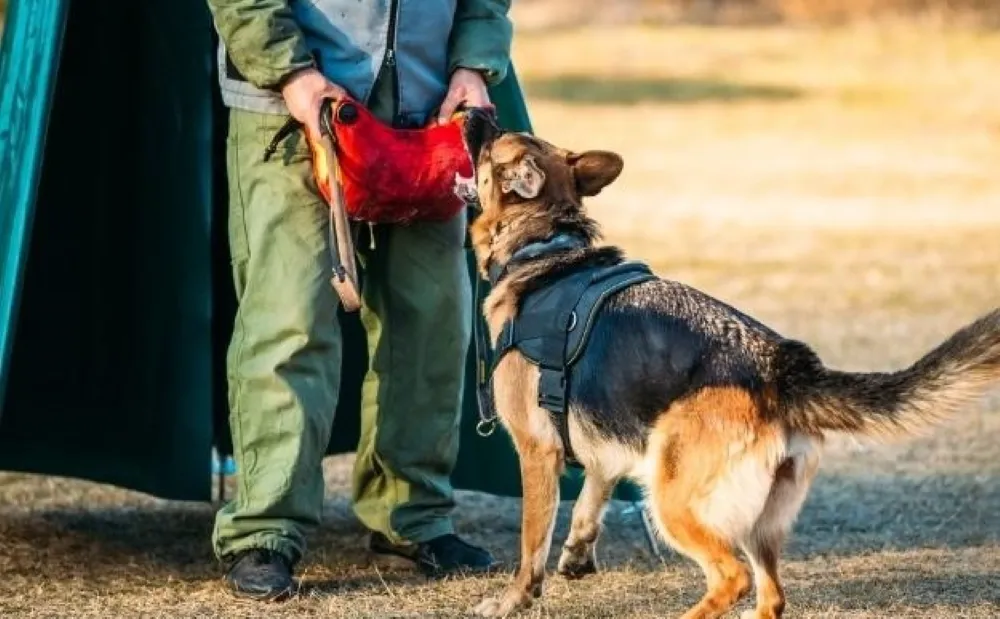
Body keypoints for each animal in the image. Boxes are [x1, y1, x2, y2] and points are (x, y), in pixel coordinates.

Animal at [460, 111, 1000, 619]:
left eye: (492, 141)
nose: (472, 112)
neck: (544, 243)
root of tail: (783, 368)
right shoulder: (601, 442)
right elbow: (590, 500)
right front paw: (576, 554)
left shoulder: (537, 450)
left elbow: (531, 545)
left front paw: (513, 600)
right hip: (758, 527)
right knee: (771, 597)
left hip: (674, 501)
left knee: (731, 577)